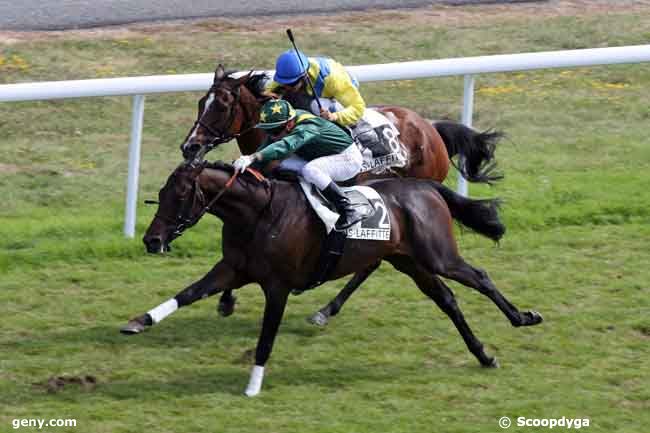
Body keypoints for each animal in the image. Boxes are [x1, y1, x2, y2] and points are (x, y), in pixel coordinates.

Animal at [121, 158, 540, 394]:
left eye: (179, 196)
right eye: (161, 193)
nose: (151, 240)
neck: (259, 213)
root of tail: (425, 186)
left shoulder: (278, 286)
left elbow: (266, 339)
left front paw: (253, 386)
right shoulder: (232, 270)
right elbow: (187, 293)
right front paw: (138, 322)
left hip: (438, 256)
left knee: (480, 277)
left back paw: (523, 318)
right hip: (410, 262)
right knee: (448, 301)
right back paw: (483, 354)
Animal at [178, 64, 506, 320]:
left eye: (221, 105)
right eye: (201, 102)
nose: (189, 146)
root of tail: (431, 128)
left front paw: (228, 298)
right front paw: (226, 298)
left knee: (372, 261)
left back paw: (327, 309)